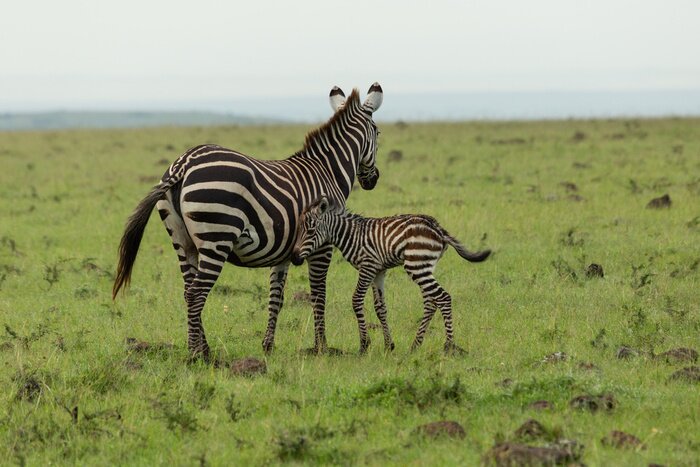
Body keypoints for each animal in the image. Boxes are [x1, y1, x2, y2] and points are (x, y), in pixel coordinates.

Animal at [112, 83, 384, 360]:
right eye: (378, 132)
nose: (373, 180)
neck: (327, 171)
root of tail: (183, 164)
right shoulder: (322, 244)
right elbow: (318, 294)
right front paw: (322, 348)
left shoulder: (286, 251)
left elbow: (276, 297)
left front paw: (268, 346)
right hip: (216, 238)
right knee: (197, 293)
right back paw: (198, 356)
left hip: (182, 241)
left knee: (189, 290)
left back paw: (202, 350)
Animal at [290, 196, 491, 354]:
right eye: (298, 229)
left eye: (310, 230)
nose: (294, 258)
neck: (351, 235)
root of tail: (438, 228)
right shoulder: (379, 271)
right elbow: (380, 307)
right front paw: (389, 345)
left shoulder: (368, 266)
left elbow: (356, 300)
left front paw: (364, 345)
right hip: (425, 266)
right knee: (431, 301)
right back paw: (415, 345)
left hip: (416, 265)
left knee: (443, 297)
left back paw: (449, 347)